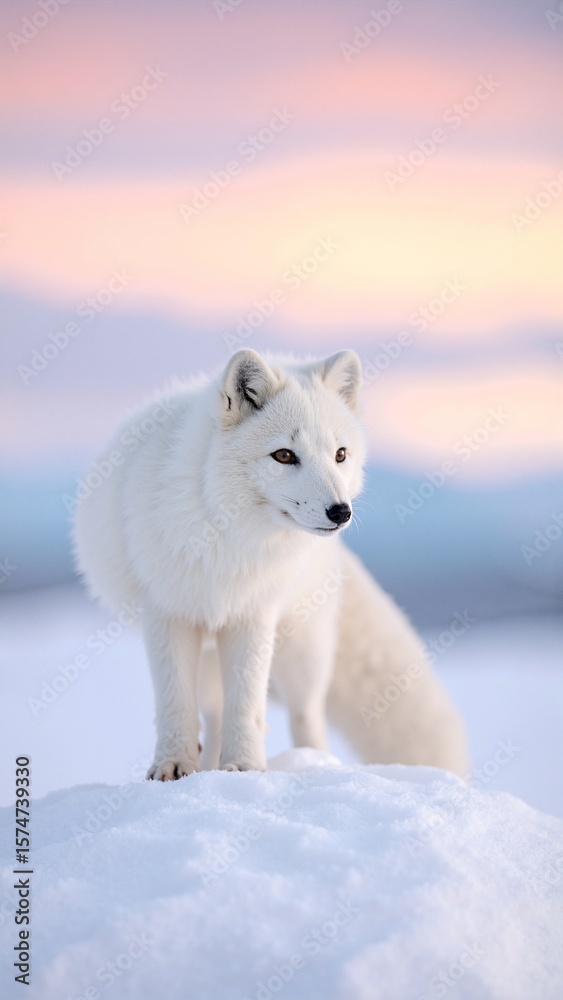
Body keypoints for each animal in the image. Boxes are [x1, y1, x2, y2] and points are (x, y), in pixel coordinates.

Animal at [74, 348, 469, 779]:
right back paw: (209, 765)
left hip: (302, 653)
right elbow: (175, 703)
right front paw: (173, 766)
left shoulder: (254, 614)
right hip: (211, 659)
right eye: (284, 455)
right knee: (213, 714)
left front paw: (246, 767)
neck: (227, 538)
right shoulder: (167, 613)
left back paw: (314, 765)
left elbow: (247, 705)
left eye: (340, 455)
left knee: (305, 715)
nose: (341, 512)